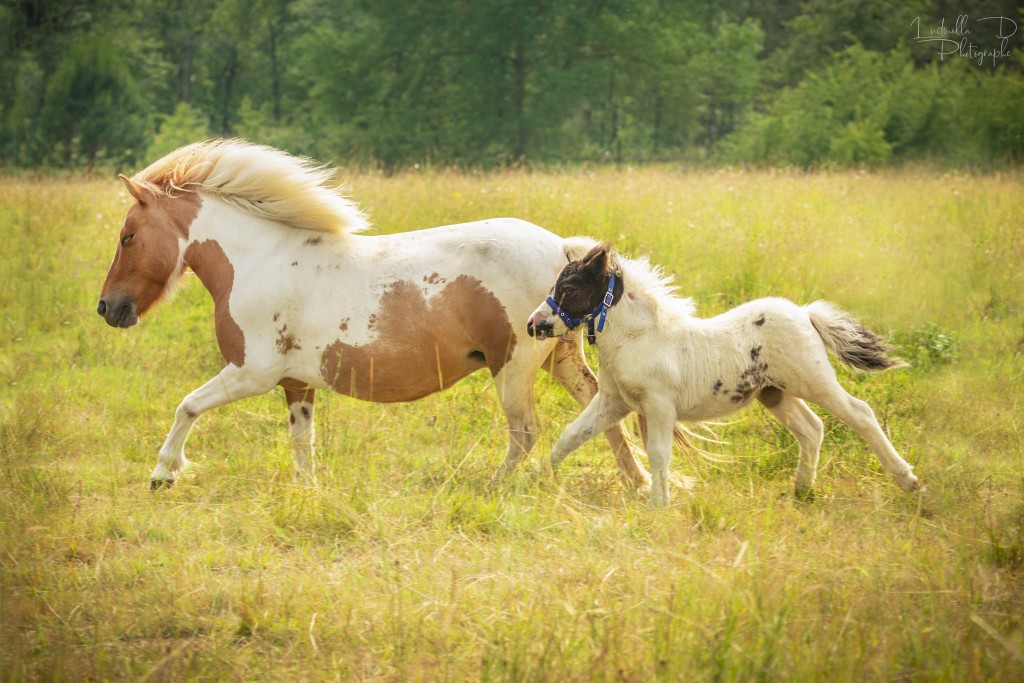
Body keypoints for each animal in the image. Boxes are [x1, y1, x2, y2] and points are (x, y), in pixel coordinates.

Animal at [99, 140, 651, 491]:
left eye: (127, 236)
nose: (108, 308)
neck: (261, 259)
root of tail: (561, 249)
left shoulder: (250, 373)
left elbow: (187, 406)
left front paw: (163, 474)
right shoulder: (296, 385)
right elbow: (302, 442)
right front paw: (307, 493)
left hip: (514, 366)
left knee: (526, 434)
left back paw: (496, 486)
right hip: (560, 356)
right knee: (603, 412)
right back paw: (639, 482)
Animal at [528, 242, 921, 505]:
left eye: (569, 288)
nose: (533, 325)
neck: (637, 338)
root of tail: (805, 314)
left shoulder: (659, 405)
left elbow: (659, 452)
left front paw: (659, 503)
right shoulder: (614, 401)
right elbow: (572, 435)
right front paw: (534, 476)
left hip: (814, 382)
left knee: (860, 413)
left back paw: (909, 481)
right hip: (776, 393)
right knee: (812, 429)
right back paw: (802, 490)